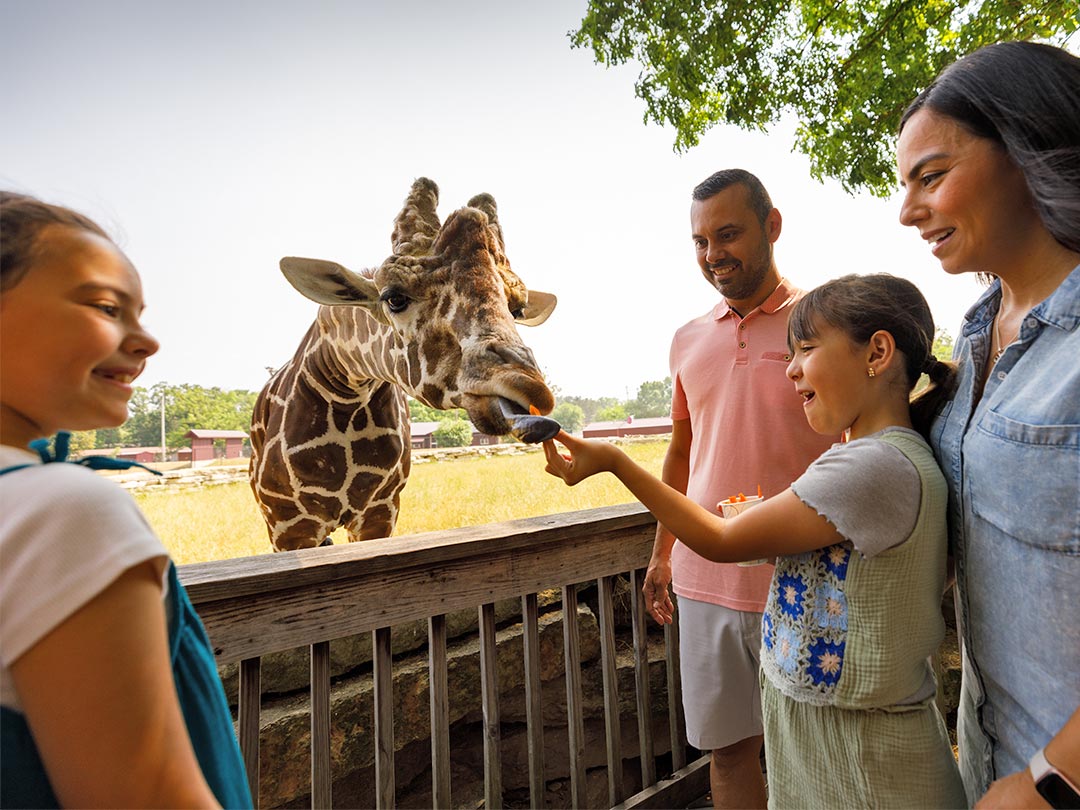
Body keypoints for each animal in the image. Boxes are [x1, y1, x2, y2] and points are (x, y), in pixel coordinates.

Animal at [249, 179, 557, 552]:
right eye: (394, 298)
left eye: (516, 309)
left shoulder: (381, 513)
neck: (346, 392)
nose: (529, 388)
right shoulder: (289, 525)